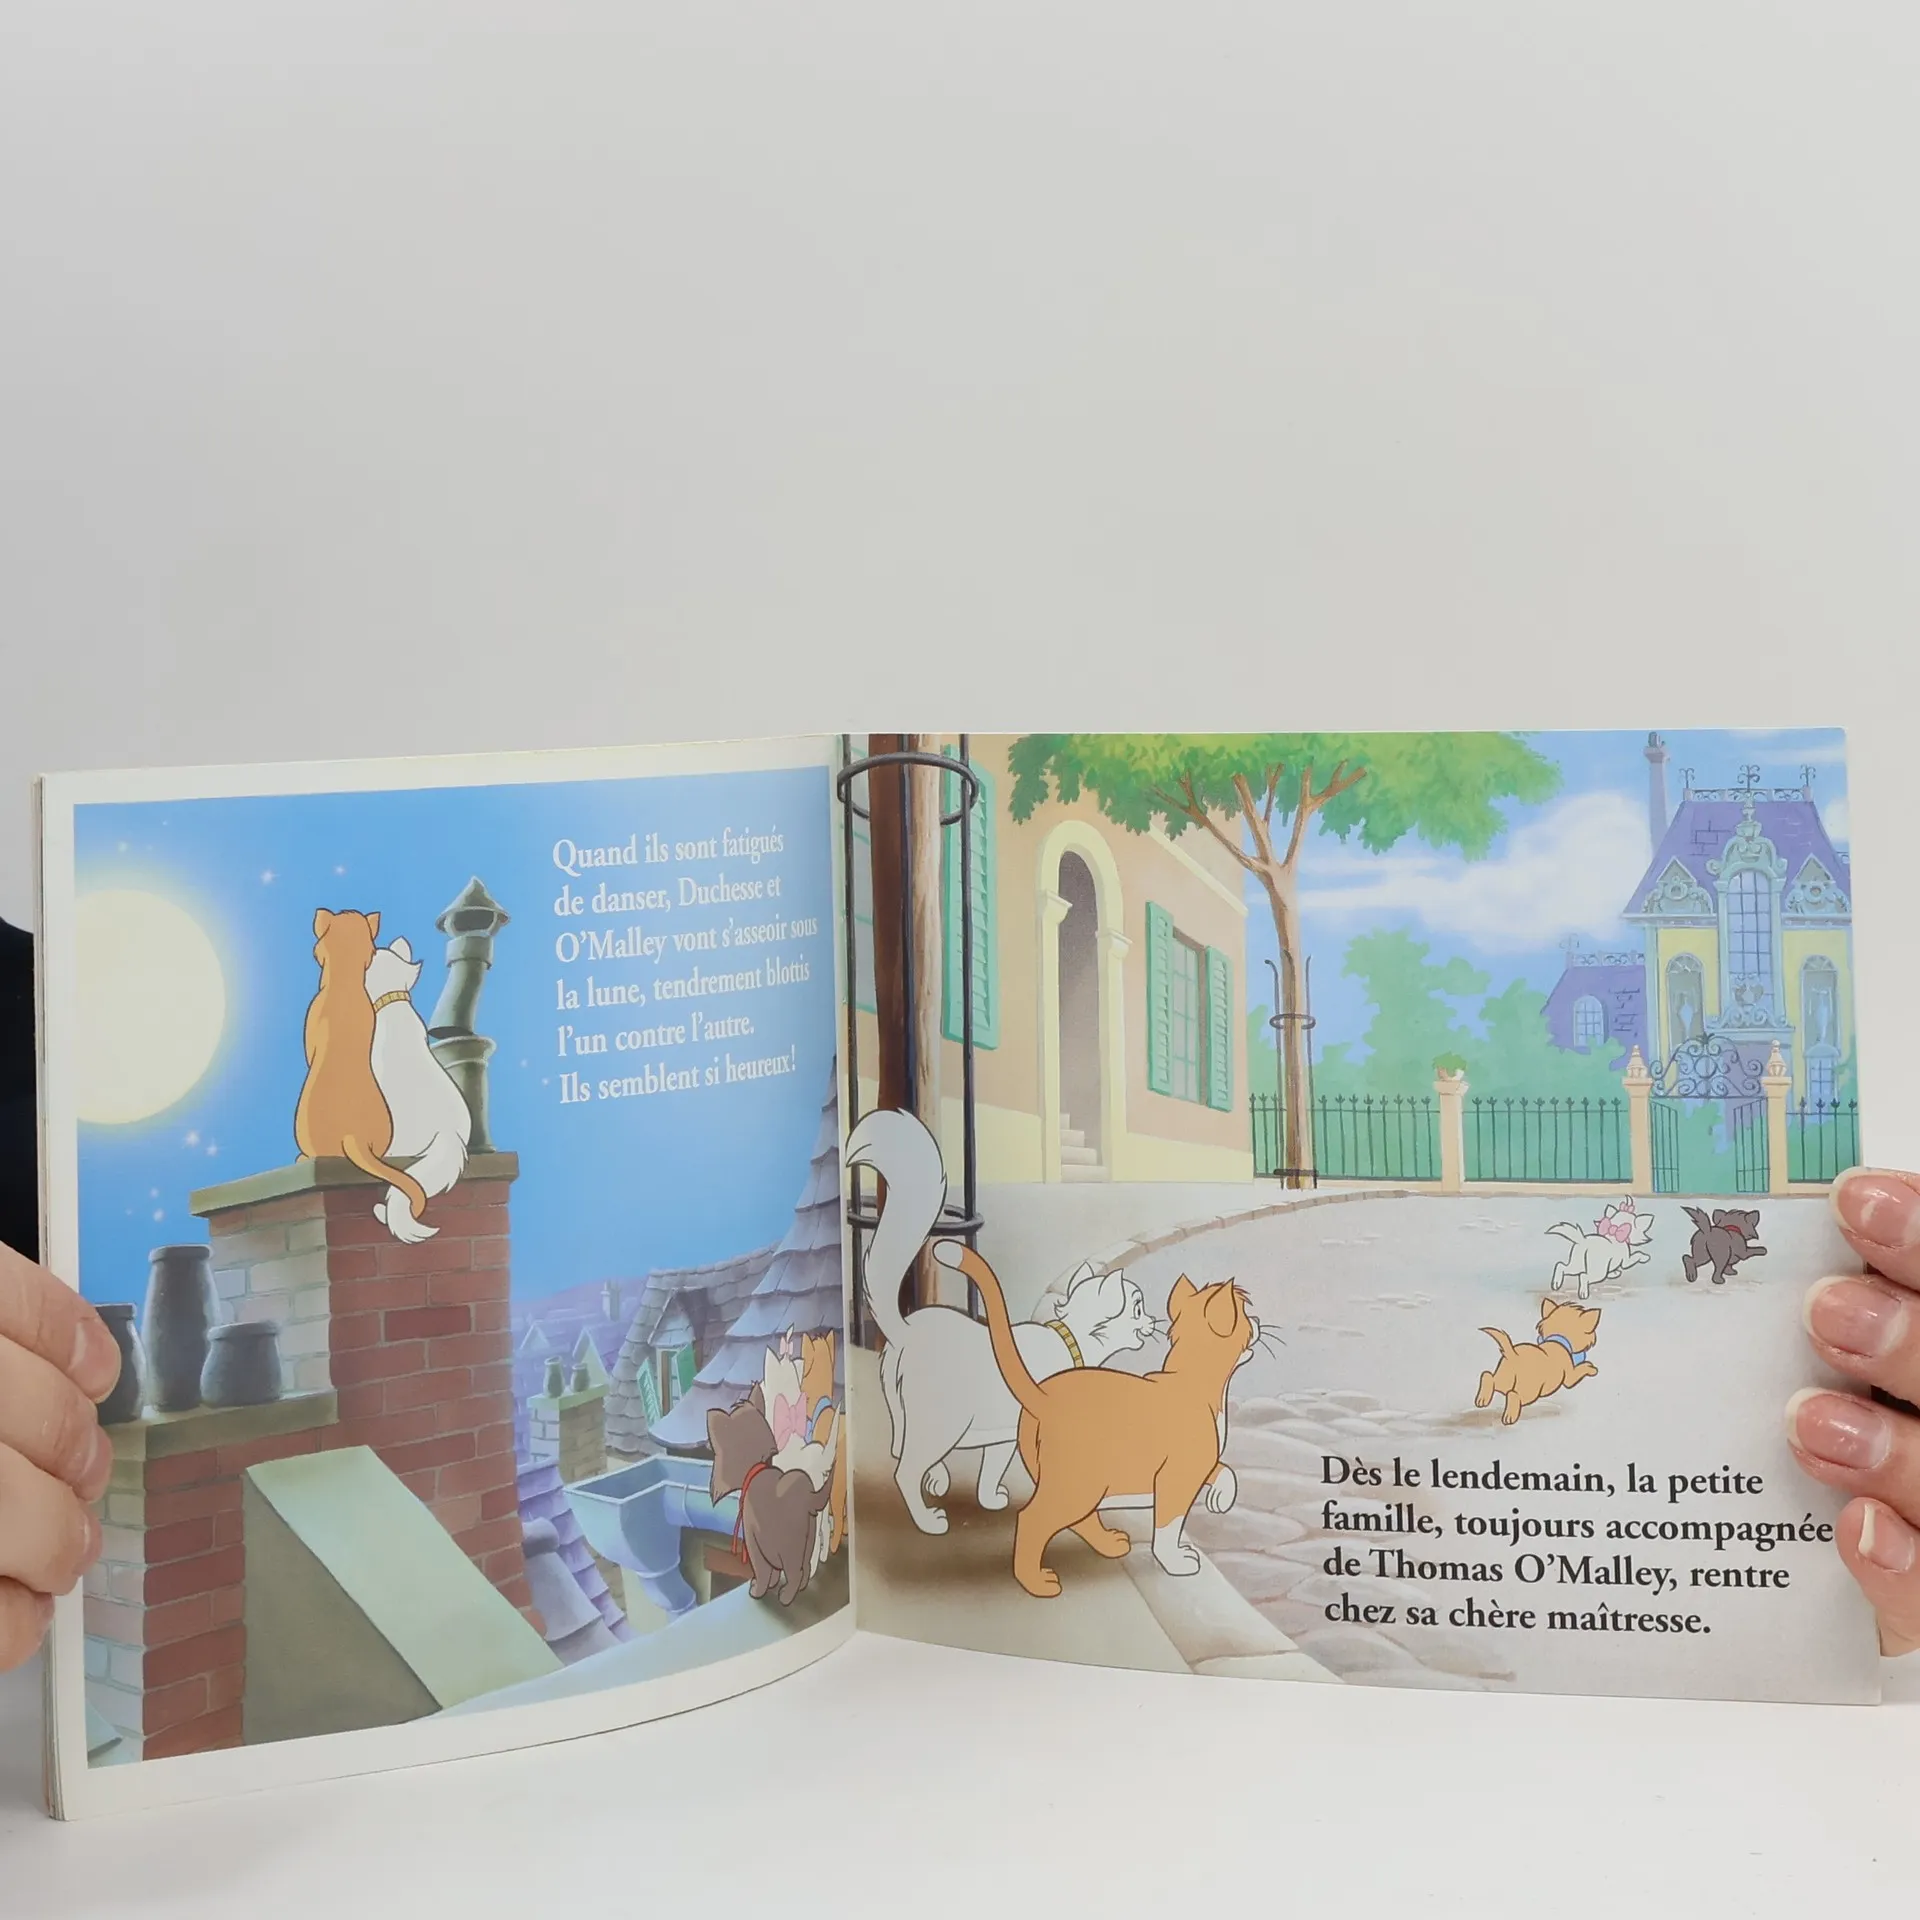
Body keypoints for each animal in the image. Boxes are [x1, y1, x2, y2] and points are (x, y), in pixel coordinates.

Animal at [707, 1397, 832, 1606]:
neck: (754, 1467)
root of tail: (807, 1494)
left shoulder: (753, 1537)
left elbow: (762, 1569)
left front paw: (758, 1590)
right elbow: (771, 1571)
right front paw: (771, 1584)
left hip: (790, 1545)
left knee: (795, 1572)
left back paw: (786, 1597)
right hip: (808, 1538)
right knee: (805, 1567)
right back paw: (800, 1588)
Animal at [846, 1107, 1159, 1535]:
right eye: (1138, 1307)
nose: (1156, 1319)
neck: (1070, 1341)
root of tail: (907, 1330)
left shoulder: (1003, 1437)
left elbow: (991, 1471)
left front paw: (990, 1499)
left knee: (906, 1451)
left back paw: (938, 1479)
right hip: (943, 1420)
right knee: (905, 1471)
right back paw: (928, 1519)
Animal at [931, 1238, 1257, 1600]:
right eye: (1246, 1314)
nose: (1259, 1322)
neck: (1192, 1378)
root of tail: (1045, 1396)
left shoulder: (1198, 1465)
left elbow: (1224, 1471)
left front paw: (1221, 1498)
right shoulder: (1176, 1478)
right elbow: (1168, 1527)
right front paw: (1176, 1563)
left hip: (1085, 1484)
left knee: (1079, 1520)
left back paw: (1108, 1544)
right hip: (1078, 1485)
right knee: (1033, 1519)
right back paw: (1036, 1582)